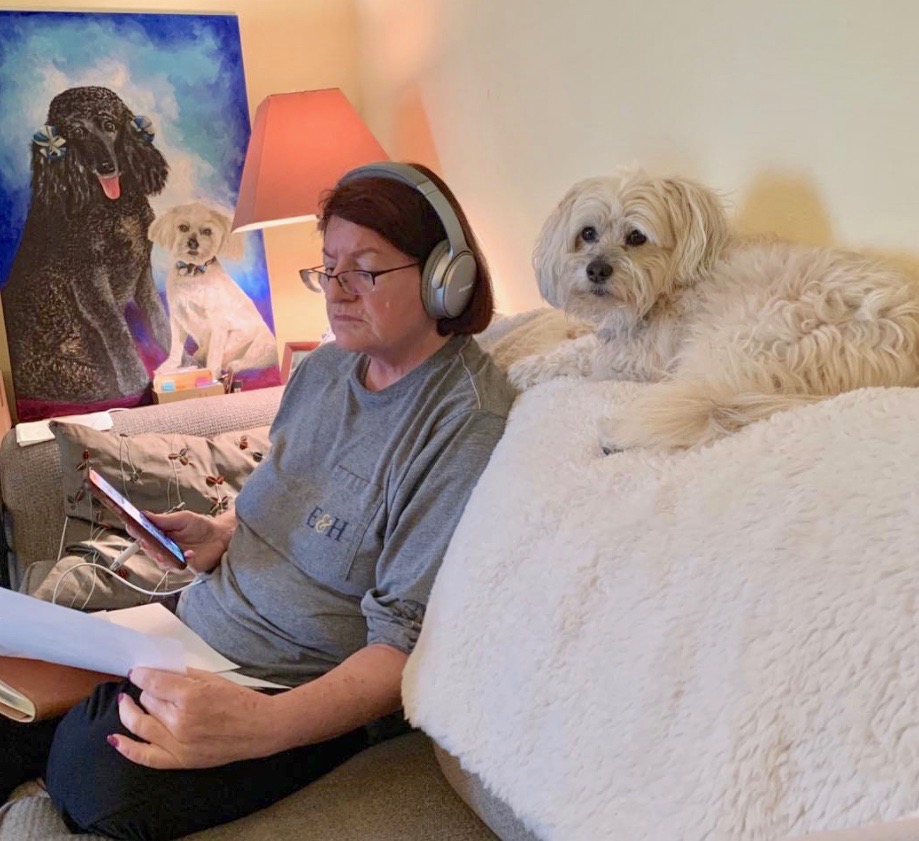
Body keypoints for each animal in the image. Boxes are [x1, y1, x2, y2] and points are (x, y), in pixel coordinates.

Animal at [150, 202, 276, 376]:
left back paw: (231, 365)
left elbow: (214, 354)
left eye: (207, 231)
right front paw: (169, 366)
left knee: (246, 361)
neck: (193, 274)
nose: (193, 242)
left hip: (261, 346)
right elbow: (175, 347)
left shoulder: (218, 325)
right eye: (183, 227)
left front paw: (211, 374)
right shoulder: (177, 318)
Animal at [506, 167, 919, 450]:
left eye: (637, 237)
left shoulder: (639, 355)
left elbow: (582, 355)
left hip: (735, 339)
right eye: (587, 234)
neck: (667, 286)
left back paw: (618, 437)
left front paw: (525, 367)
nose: (596, 270)